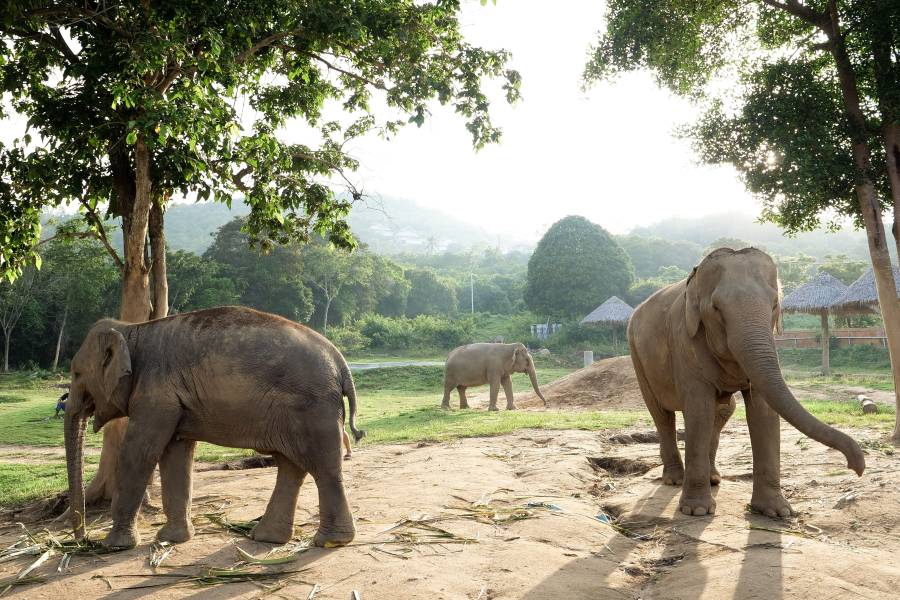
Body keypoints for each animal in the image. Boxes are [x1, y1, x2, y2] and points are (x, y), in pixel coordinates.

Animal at [64, 306, 365, 549]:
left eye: (76, 373)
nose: (83, 540)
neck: (131, 330)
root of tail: (341, 363)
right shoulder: (171, 401)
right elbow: (176, 455)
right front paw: (172, 539)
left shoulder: (155, 395)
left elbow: (139, 454)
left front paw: (115, 545)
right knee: (291, 467)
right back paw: (267, 538)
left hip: (312, 409)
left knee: (323, 469)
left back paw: (331, 541)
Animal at [628, 248, 864, 518]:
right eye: (716, 308)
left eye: (774, 304)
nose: (857, 468)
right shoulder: (684, 342)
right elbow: (698, 410)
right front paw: (697, 511)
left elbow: (764, 411)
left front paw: (777, 512)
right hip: (636, 355)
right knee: (662, 414)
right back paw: (675, 480)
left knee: (723, 410)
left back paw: (713, 478)